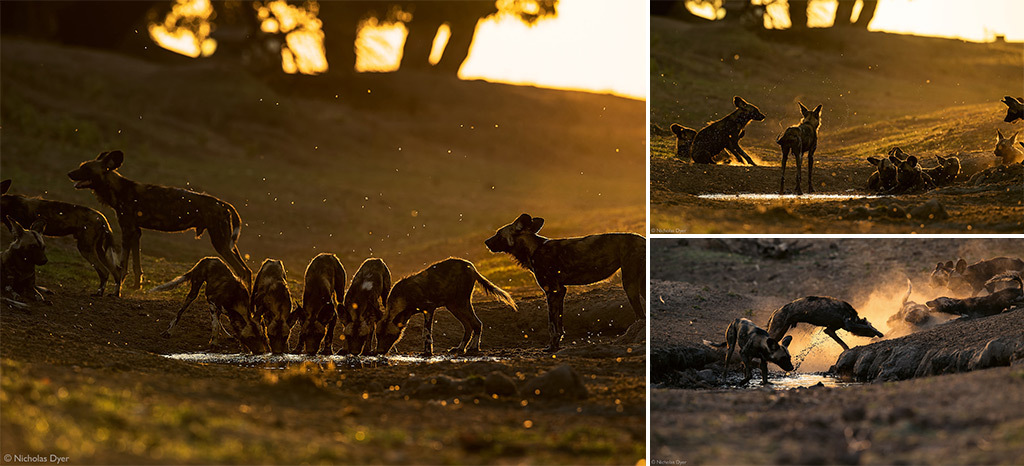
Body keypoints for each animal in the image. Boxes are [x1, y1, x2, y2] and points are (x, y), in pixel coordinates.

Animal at [68, 150, 251, 288]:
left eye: (85, 169)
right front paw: (136, 286)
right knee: (247, 271)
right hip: (228, 243)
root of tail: (222, 203)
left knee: (241, 271)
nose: (69, 173)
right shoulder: (136, 232)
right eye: (81, 166)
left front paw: (119, 284)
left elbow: (123, 263)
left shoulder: (127, 230)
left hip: (220, 243)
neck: (118, 189)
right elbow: (136, 265)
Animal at [374, 259, 516, 358]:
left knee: (477, 324)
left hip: (461, 303)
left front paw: (427, 353)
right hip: (453, 306)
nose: (379, 352)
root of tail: (471, 266)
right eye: (378, 336)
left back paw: (473, 348)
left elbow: (426, 333)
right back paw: (460, 348)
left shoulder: (429, 309)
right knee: (469, 326)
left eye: (389, 336)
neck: (404, 297)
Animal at [485, 213, 643, 352]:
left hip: (629, 284)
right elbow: (559, 326)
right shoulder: (560, 291)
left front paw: (551, 348)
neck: (533, 249)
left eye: (498, 234)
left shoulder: (552, 291)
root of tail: (643, 239)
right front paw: (556, 346)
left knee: (641, 315)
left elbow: (552, 326)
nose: (486, 242)